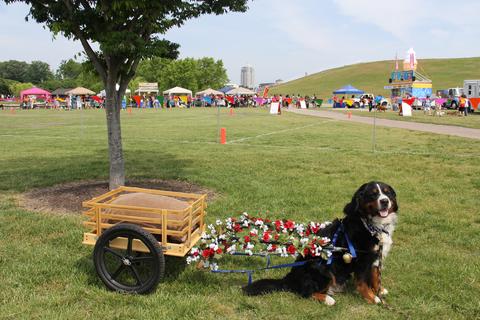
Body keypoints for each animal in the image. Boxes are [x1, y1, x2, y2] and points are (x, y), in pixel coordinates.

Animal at [244, 181, 398, 306]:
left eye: (387, 193)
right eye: (373, 194)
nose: (385, 201)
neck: (370, 225)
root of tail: (290, 278)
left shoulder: (375, 257)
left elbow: (375, 276)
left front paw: (379, 290)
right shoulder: (361, 259)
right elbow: (362, 283)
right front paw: (373, 298)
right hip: (321, 268)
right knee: (305, 293)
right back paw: (327, 299)